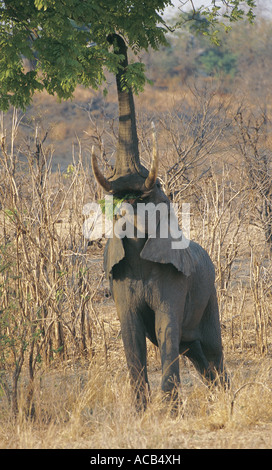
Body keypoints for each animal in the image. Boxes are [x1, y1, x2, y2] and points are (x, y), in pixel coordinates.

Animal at [91, 34, 227, 408]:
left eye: (147, 197)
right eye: (117, 203)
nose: (113, 38)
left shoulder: (174, 280)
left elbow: (167, 327)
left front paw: (168, 410)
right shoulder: (119, 277)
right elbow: (131, 333)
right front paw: (141, 411)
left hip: (209, 293)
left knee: (211, 349)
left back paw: (228, 399)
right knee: (195, 352)